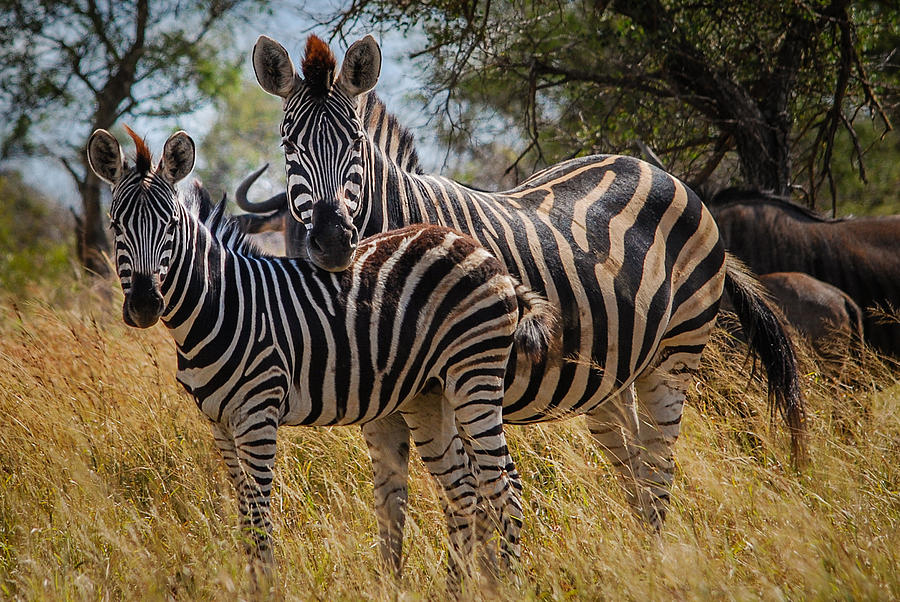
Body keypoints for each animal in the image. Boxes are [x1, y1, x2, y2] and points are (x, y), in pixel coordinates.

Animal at [89, 125, 556, 584]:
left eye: (169, 224)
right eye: (114, 225)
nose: (144, 305)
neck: (222, 303)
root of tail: (476, 247)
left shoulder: (258, 414)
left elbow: (258, 518)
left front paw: (266, 588)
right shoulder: (218, 422)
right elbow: (244, 514)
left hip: (474, 377)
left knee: (504, 488)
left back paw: (507, 586)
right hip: (430, 393)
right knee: (463, 491)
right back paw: (456, 589)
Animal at [248, 32, 808, 564]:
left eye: (356, 143)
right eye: (288, 144)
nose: (332, 242)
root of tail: (664, 173)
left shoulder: (460, 383)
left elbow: (474, 502)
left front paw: (484, 578)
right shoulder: (380, 407)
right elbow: (390, 509)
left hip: (675, 358)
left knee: (659, 471)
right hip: (608, 379)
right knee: (635, 474)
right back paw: (644, 564)